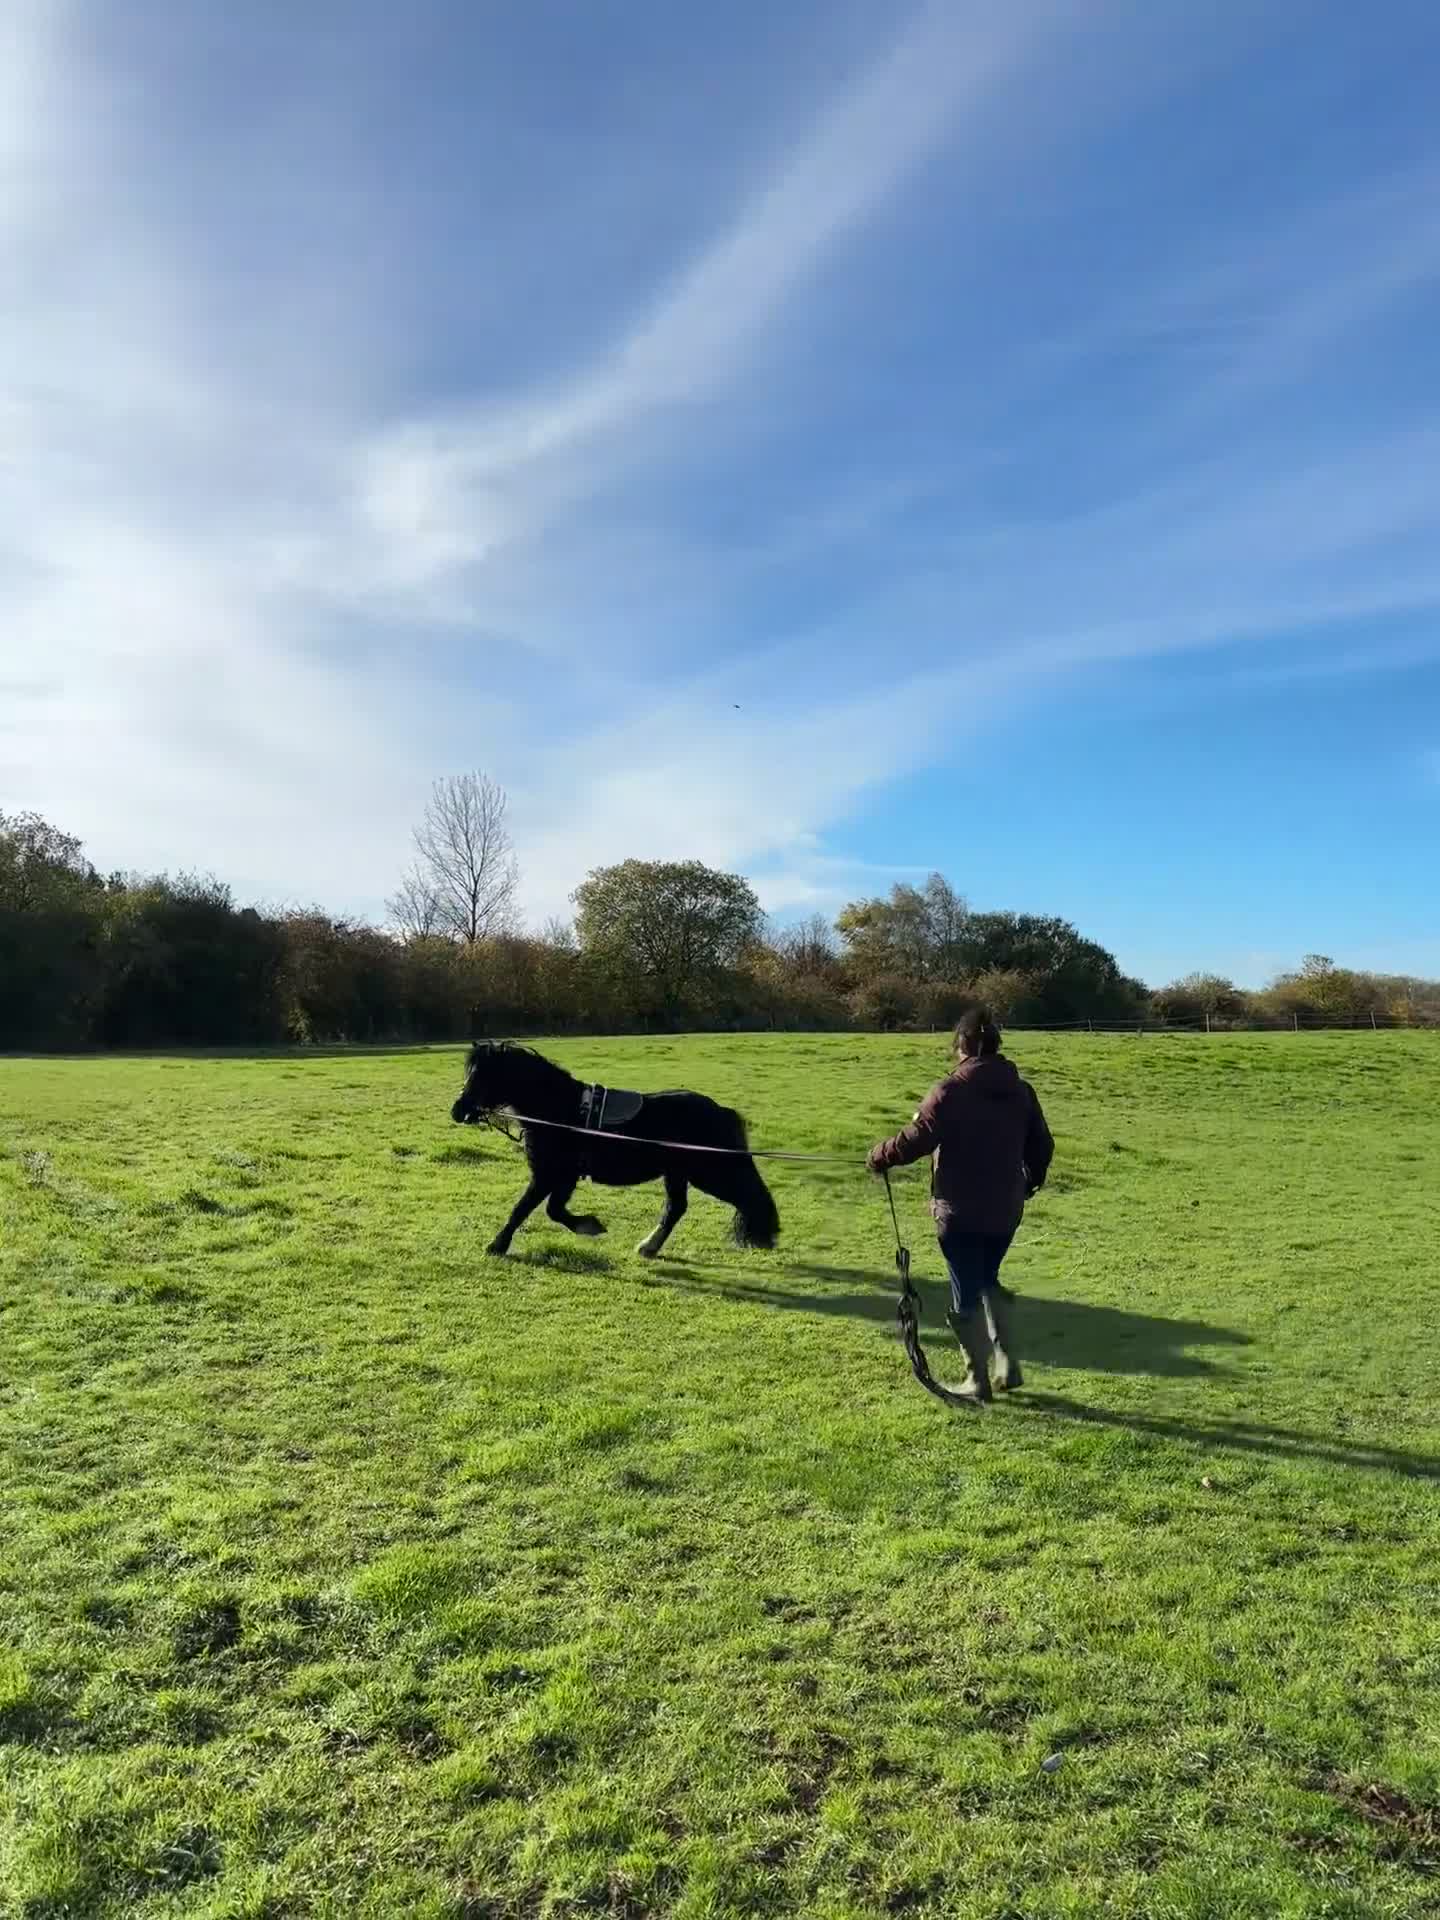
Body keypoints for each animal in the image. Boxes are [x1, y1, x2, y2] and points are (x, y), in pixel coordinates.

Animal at [450, 1041, 781, 1259]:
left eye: (482, 1076)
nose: (458, 1110)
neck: (560, 1109)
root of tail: (721, 1110)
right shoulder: (563, 1178)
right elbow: (552, 1210)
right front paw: (590, 1225)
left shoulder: (550, 1175)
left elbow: (525, 1209)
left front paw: (497, 1245)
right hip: (678, 1174)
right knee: (676, 1208)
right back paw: (649, 1247)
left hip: (710, 1173)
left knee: (749, 1196)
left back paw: (762, 1235)